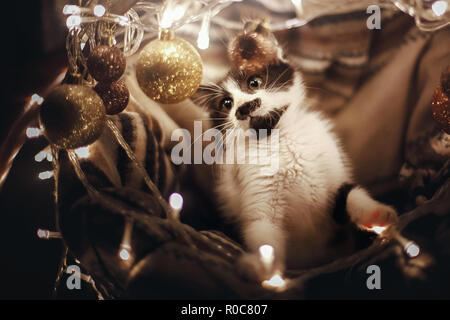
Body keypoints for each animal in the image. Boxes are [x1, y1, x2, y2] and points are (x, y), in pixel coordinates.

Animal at [193, 33, 398, 282]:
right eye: (226, 103)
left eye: (254, 82)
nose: (244, 107)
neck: (278, 138)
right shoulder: (257, 194)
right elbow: (263, 231)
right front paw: (261, 267)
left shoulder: (332, 171)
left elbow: (350, 192)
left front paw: (376, 214)